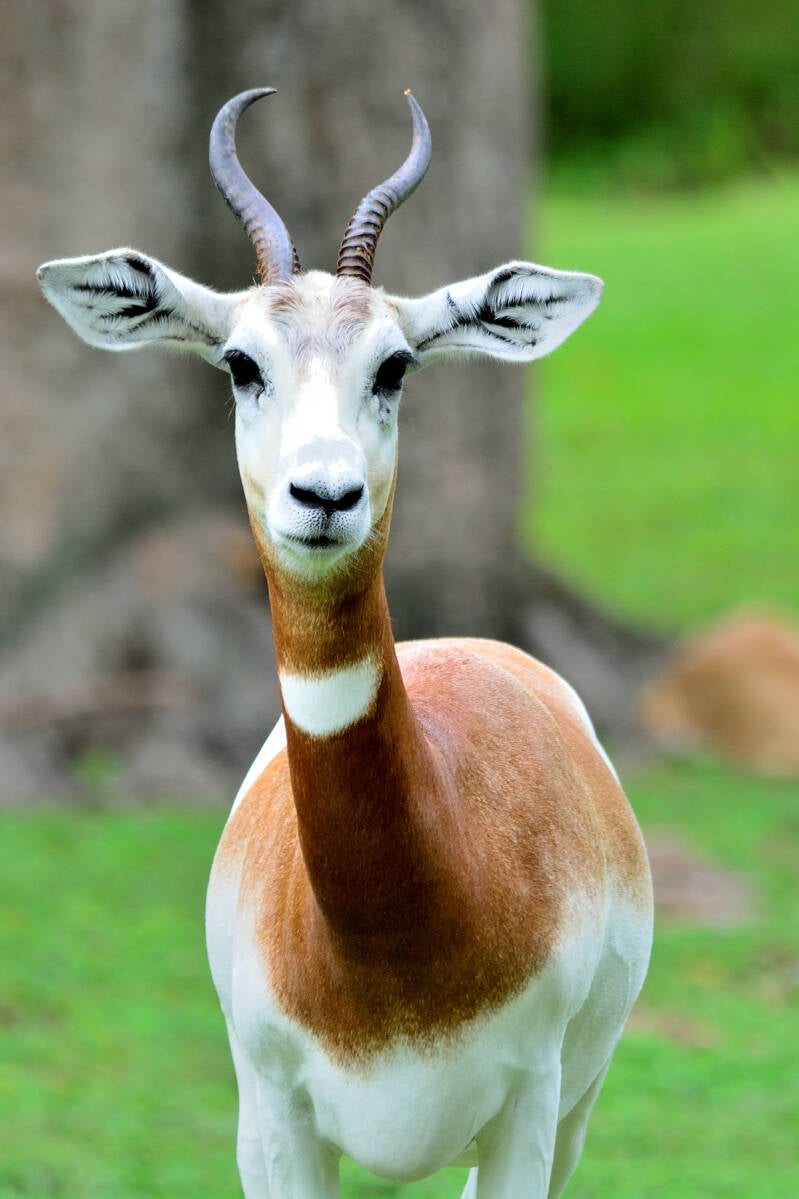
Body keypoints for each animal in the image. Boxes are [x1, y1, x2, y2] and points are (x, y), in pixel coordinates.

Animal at [38, 89, 653, 1199]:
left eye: (395, 364)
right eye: (241, 363)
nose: (323, 494)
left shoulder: (528, 1110)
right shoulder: (273, 1120)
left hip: (573, 1112)